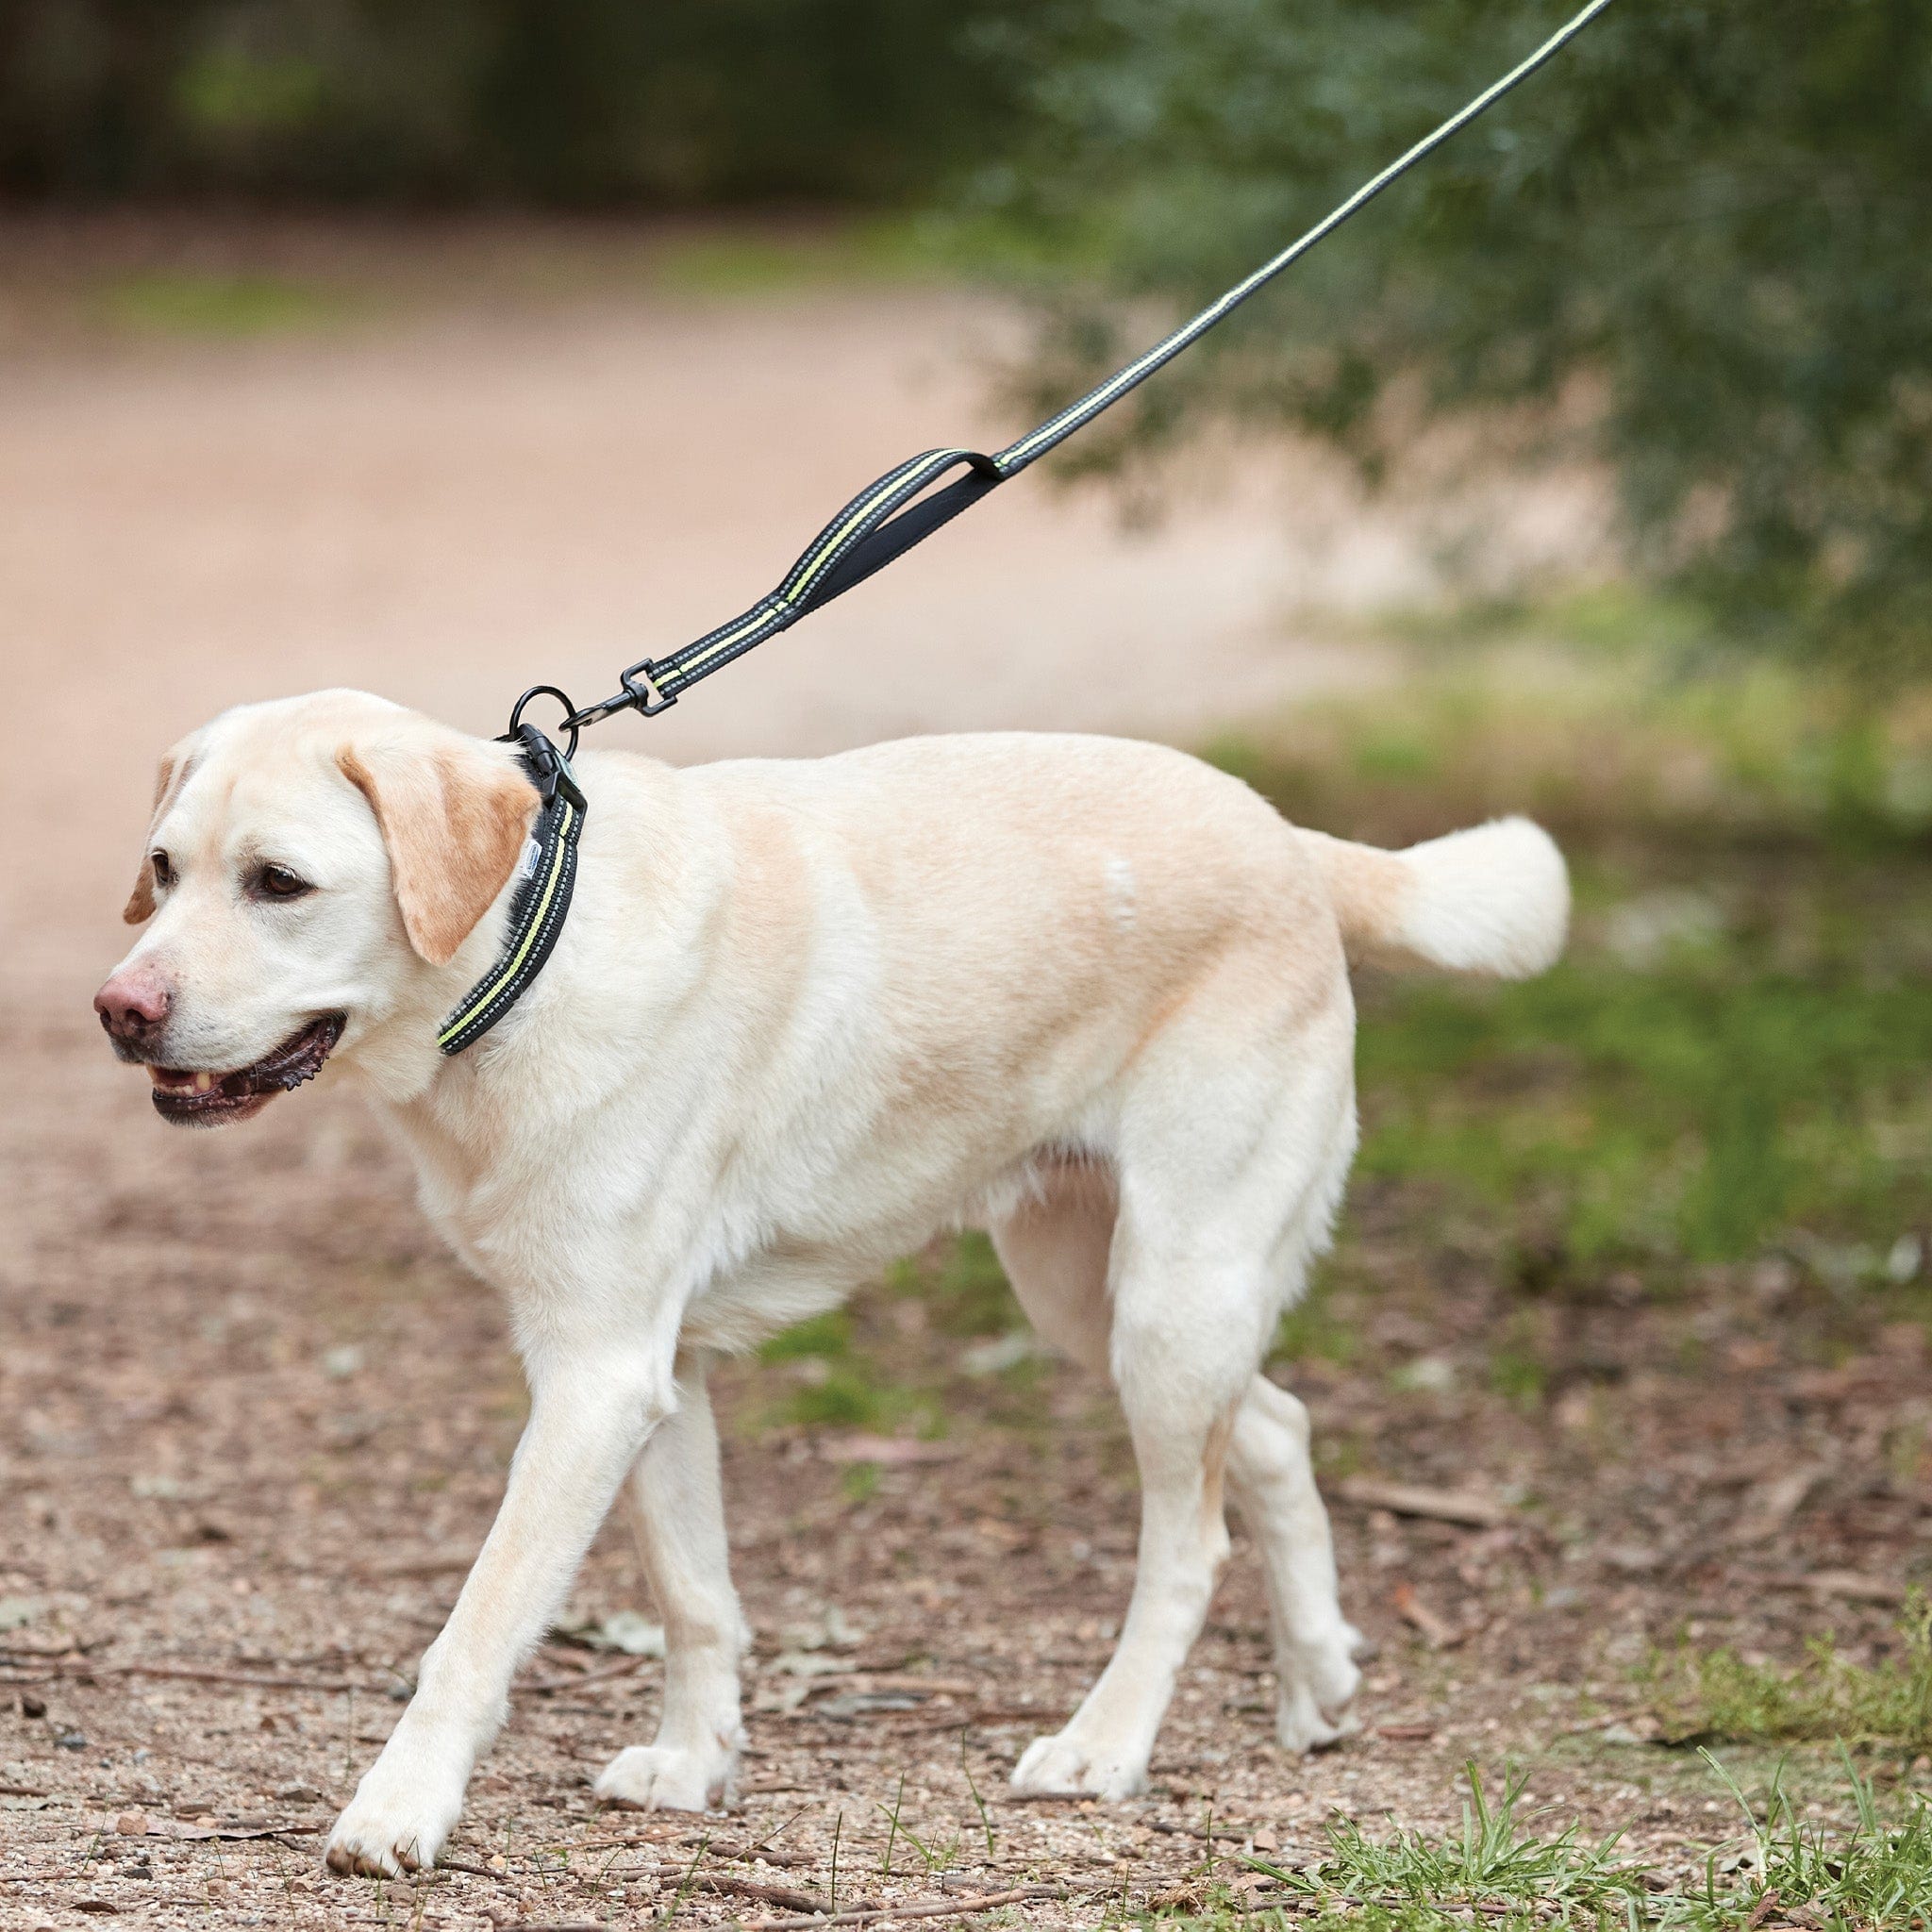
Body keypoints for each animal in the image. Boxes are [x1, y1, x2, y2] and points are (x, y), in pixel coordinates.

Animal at [93, 691, 1568, 1870]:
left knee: (1190, 1539)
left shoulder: (594, 1378)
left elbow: (476, 1628)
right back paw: (1318, 1681)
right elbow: (694, 1595)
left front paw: (399, 1811)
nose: (118, 1011)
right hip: (1094, 1297)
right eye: (162, 869)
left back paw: (1105, 1745)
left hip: (1171, 1295)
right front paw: (698, 1766)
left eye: (279, 882)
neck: (535, 946)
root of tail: (1290, 839)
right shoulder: (653, 1376)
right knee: (1274, 1428)